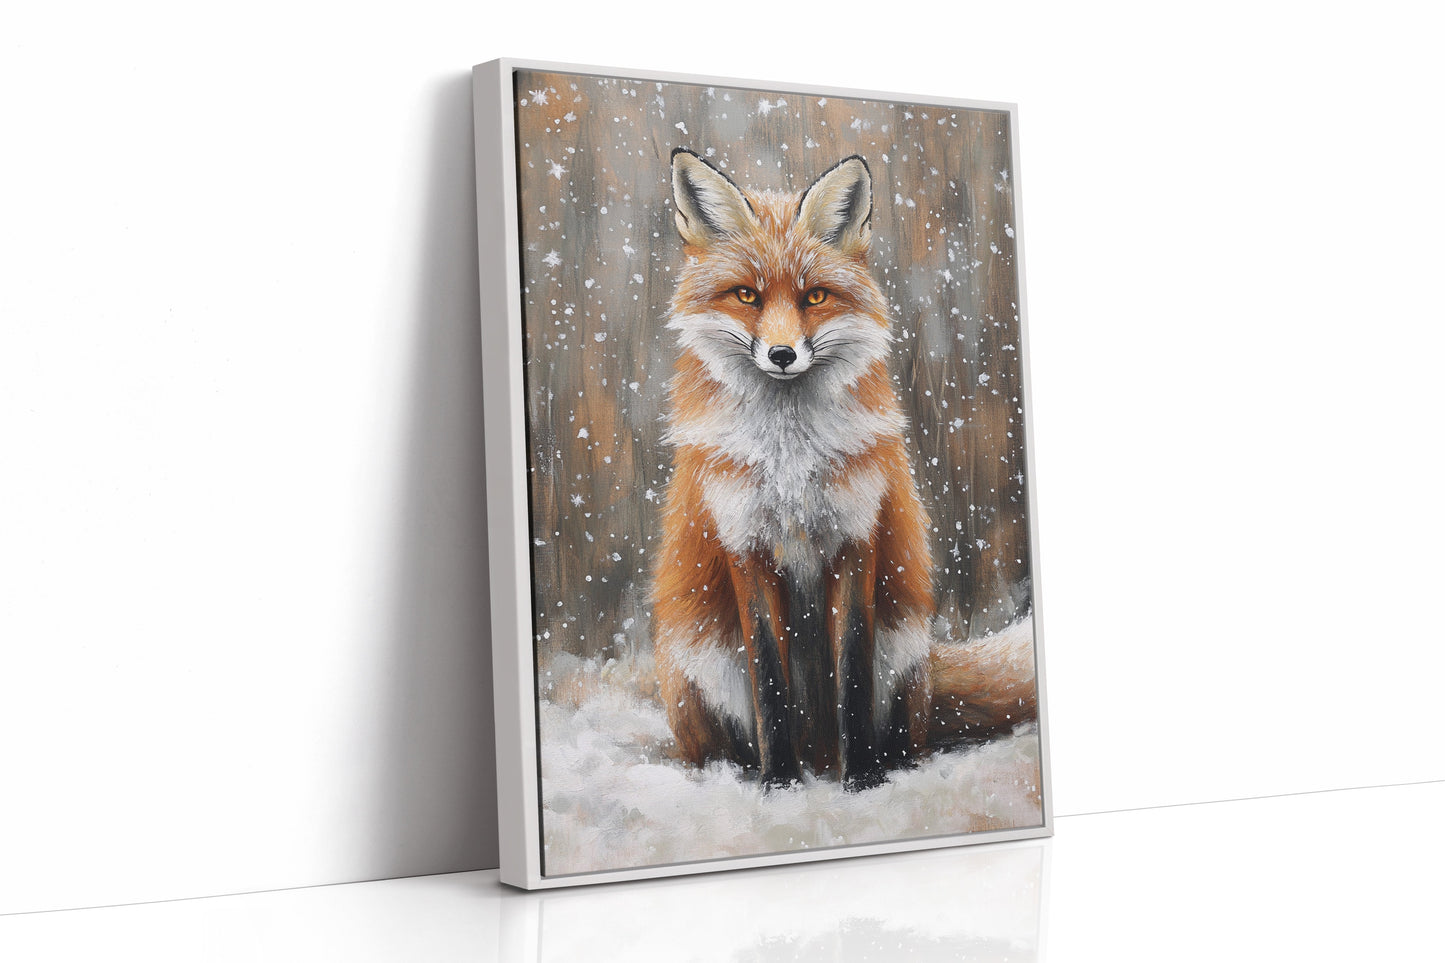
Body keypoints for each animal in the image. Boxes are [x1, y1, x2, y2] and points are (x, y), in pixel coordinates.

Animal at [652, 148, 1035, 790]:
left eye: (815, 297)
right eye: (747, 296)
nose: (783, 355)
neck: (790, 461)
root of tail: (819, 753)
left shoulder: (858, 535)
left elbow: (852, 674)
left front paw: (865, 783)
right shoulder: (745, 545)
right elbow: (770, 683)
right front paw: (778, 786)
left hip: (903, 652)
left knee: (904, 731)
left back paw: (875, 765)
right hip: (696, 664)